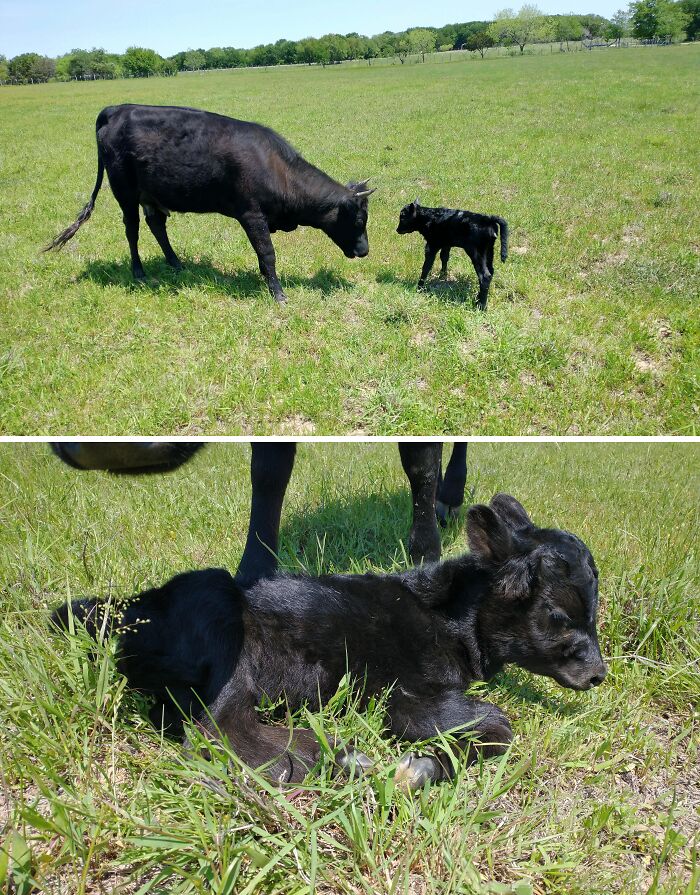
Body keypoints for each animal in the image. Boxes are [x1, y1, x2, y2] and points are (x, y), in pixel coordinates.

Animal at [43, 104, 375, 302]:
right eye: (359, 220)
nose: (365, 251)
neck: (275, 168)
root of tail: (117, 109)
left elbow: (262, 255)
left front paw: (264, 280)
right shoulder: (252, 215)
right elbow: (267, 253)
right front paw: (278, 293)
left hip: (151, 195)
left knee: (156, 225)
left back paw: (176, 263)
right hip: (125, 193)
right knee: (132, 229)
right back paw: (139, 273)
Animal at [49, 442, 469, 581]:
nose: (112, 449)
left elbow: (419, 464)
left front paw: (426, 554)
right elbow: (268, 470)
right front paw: (254, 569)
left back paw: (449, 492)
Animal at [51, 493, 607, 790]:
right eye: (559, 615)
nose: (599, 674)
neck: (448, 618)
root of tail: (127, 609)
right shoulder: (403, 693)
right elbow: (498, 723)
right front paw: (421, 768)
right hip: (219, 619)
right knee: (215, 729)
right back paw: (333, 758)